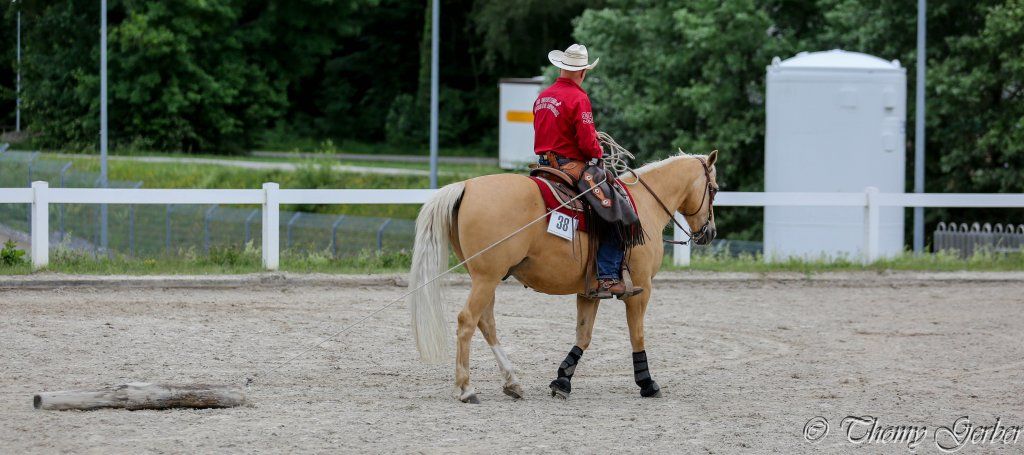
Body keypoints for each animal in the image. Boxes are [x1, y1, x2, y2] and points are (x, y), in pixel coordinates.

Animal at [407, 150, 719, 403]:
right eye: (714, 189)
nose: (709, 232)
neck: (644, 206)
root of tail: (466, 186)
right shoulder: (641, 289)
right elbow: (637, 335)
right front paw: (647, 383)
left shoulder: (589, 291)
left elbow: (584, 336)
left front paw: (562, 380)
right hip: (486, 278)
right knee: (467, 321)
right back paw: (466, 388)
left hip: (487, 278)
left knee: (487, 323)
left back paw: (512, 382)